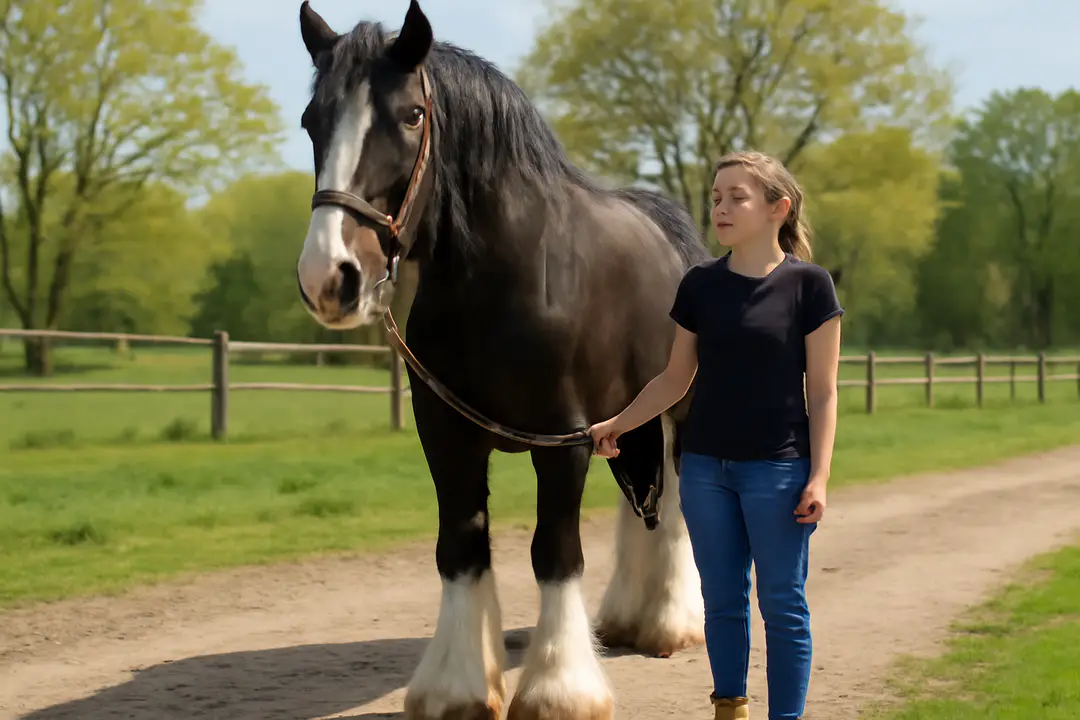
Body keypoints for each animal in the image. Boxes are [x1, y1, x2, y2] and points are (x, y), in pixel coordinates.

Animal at [294, 2, 710, 717]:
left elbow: (556, 552)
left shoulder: (563, 441)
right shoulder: (447, 435)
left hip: (673, 415)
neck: (507, 277)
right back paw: (626, 618)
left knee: (677, 507)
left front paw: (560, 689)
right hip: (626, 423)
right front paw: (457, 687)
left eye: (412, 114)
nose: (331, 276)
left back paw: (670, 624)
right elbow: (461, 548)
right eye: (311, 120)